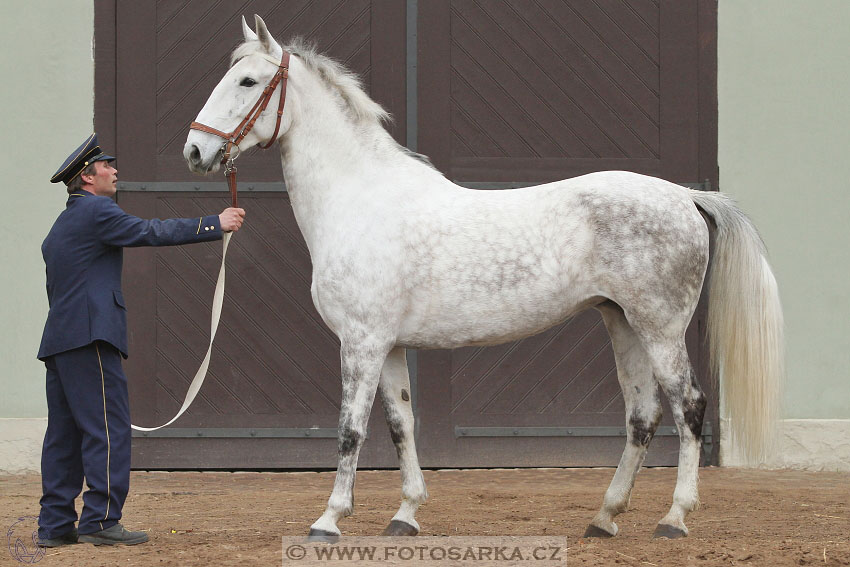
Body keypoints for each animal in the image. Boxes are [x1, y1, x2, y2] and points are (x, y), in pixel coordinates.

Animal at [186, 14, 780, 540]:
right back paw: (604, 518)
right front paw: (405, 515)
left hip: (660, 329)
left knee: (689, 409)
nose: (195, 149)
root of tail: (684, 196)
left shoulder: (361, 341)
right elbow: (400, 425)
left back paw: (674, 519)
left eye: (247, 81)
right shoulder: (389, 345)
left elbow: (350, 431)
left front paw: (329, 520)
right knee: (642, 416)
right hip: (622, 322)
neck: (360, 198)